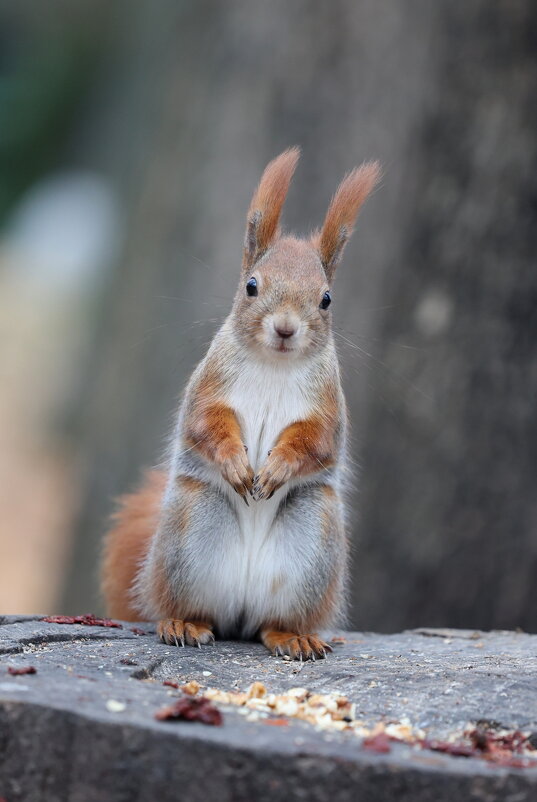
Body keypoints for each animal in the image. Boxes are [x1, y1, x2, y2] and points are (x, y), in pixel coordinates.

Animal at [100, 147, 376, 660]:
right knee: (194, 608)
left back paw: (291, 636)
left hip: (313, 537)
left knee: (271, 623)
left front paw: (277, 468)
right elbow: (206, 424)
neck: (274, 364)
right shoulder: (209, 388)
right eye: (251, 285)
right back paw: (184, 624)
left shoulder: (327, 409)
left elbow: (315, 441)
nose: (285, 328)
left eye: (326, 299)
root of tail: (241, 615)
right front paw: (235, 463)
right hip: (192, 528)